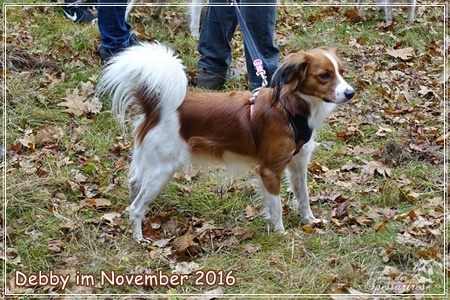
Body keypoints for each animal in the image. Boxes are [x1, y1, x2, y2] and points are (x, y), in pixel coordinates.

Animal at [97, 42, 356, 241]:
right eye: (324, 76)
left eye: (341, 72)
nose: (351, 93)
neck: (289, 108)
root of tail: (157, 108)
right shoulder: (270, 170)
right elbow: (276, 206)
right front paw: (281, 233)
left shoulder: (298, 164)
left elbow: (303, 197)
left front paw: (310, 221)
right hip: (162, 171)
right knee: (135, 208)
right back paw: (139, 239)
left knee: (134, 186)